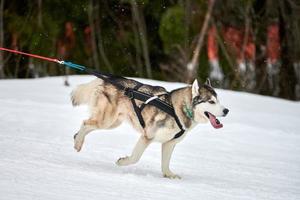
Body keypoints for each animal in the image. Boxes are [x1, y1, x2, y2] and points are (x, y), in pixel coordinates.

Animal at [71, 77, 229, 178]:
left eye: (218, 100)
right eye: (211, 101)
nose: (226, 110)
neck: (176, 109)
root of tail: (105, 80)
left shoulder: (169, 143)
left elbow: (165, 164)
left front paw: (169, 175)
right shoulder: (147, 136)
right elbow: (135, 158)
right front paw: (122, 162)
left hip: (112, 123)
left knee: (87, 125)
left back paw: (77, 138)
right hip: (106, 121)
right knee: (85, 123)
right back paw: (78, 142)